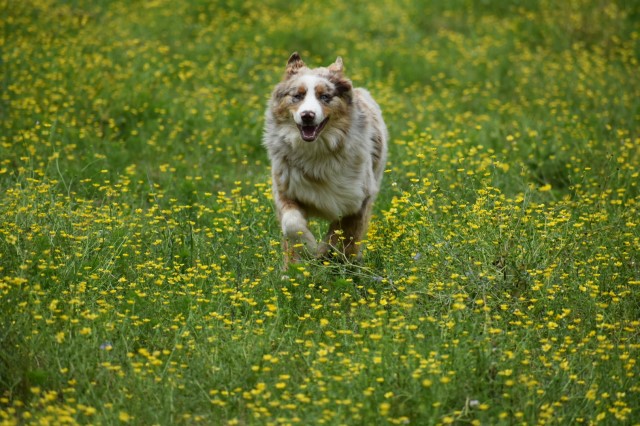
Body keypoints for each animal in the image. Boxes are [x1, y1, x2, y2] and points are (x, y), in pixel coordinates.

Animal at [262, 52, 388, 266]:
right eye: (298, 96)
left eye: (325, 97)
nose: (307, 116)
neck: (317, 152)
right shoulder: (285, 189)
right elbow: (292, 223)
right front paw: (305, 251)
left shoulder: (358, 198)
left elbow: (342, 234)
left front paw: (325, 253)